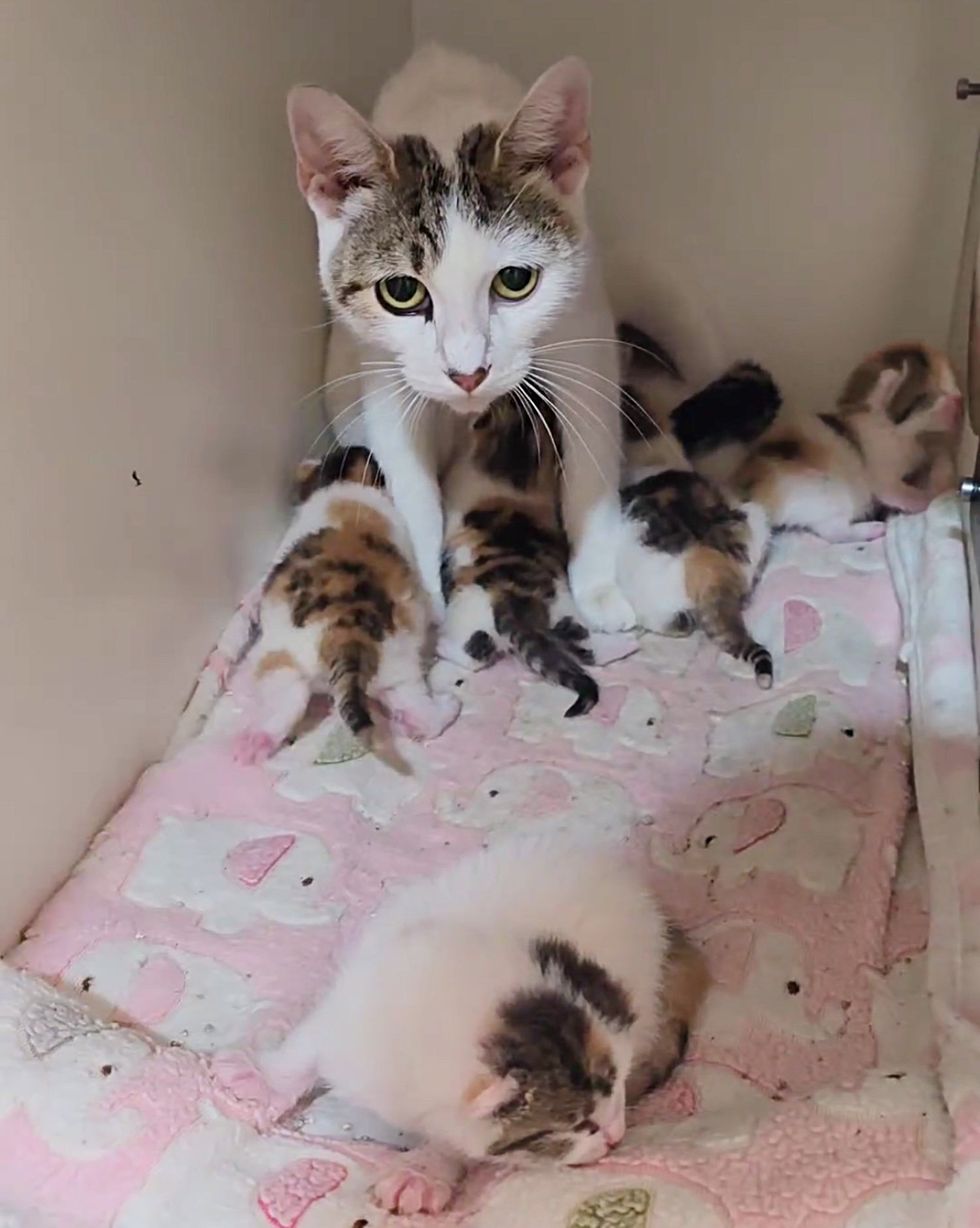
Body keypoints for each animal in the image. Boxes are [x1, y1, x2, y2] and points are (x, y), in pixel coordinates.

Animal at [233, 446, 461, 761]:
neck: (346, 482)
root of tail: (349, 635)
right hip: (400, 669)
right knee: (420, 712)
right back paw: (445, 709)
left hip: (278, 655)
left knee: (292, 697)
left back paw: (254, 742)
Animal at [259, 835, 707, 1218]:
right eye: (578, 1125)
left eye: (620, 1086)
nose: (615, 1135)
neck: (438, 995)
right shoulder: (354, 1005)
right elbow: (305, 1046)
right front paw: (260, 1087)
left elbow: (458, 1141)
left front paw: (422, 1172)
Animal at [287, 40, 633, 633]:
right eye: (401, 291)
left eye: (515, 280)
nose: (469, 374)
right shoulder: (384, 370)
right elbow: (412, 483)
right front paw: (426, 601)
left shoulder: (584, 321)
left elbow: (591, 449)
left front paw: (598, 583)